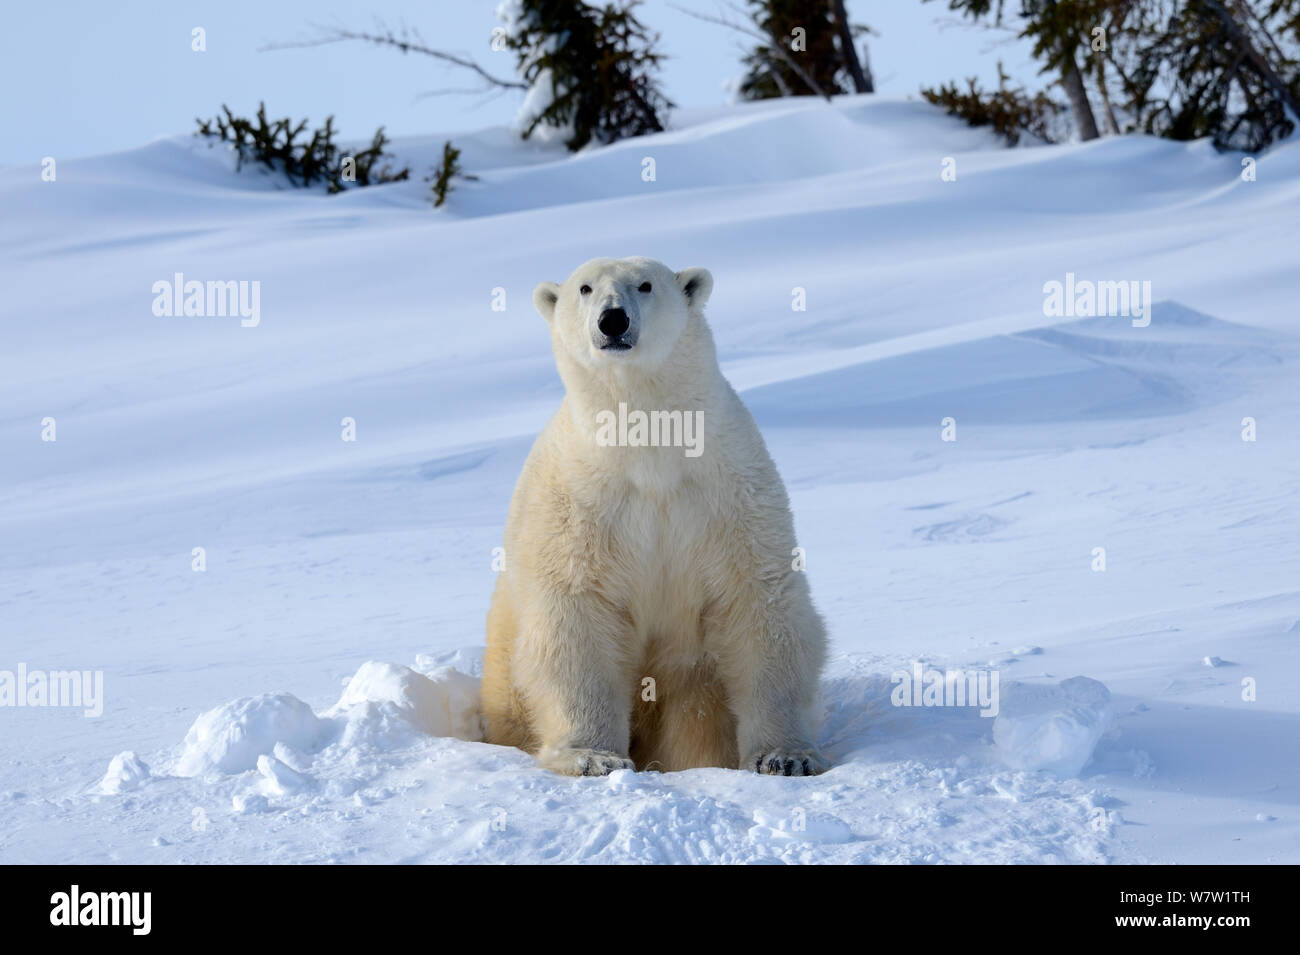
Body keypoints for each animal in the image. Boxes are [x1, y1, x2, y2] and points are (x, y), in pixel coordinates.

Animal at [483, 259, 826, 779]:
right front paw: (592, 757)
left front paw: (786, 757)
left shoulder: (726, 492)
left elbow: (756, 601)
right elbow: (576, 613)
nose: (613, 321)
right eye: (585, 288)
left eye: (644, 285)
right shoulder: (581, 502)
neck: (648, 449)